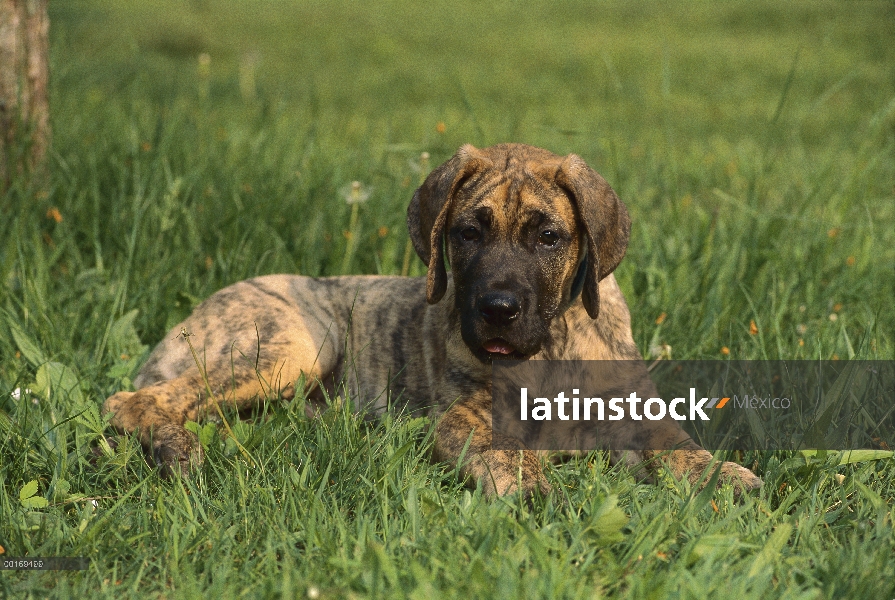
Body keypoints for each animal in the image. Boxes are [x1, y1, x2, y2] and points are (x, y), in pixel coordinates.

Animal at [105, 142, 764, 496]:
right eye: (467, 234)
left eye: (548, 238)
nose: (498, 310)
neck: (551, 347)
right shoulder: (466, 419)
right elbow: (506, 452)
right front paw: (532, 489)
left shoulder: (633, 416)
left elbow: (677, 445)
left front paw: (722, 475)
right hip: (297, 342)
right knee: (133, 402)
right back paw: (177, 453)